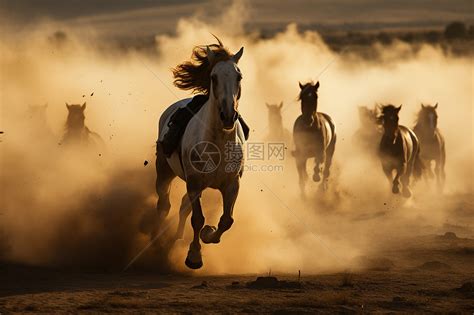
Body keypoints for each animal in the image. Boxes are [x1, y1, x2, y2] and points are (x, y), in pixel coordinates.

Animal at [156, 39, 246, 270]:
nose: (228, 116)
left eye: (239, 76)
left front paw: (209, 234)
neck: (217, 144)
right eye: (213, 77)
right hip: (164, 170)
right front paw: (194, 256)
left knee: (182, 207)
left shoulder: (232, 184)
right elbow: (197, 219)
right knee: (164, 203)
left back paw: (177, 238)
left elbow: (226, 220)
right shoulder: (195, 183)